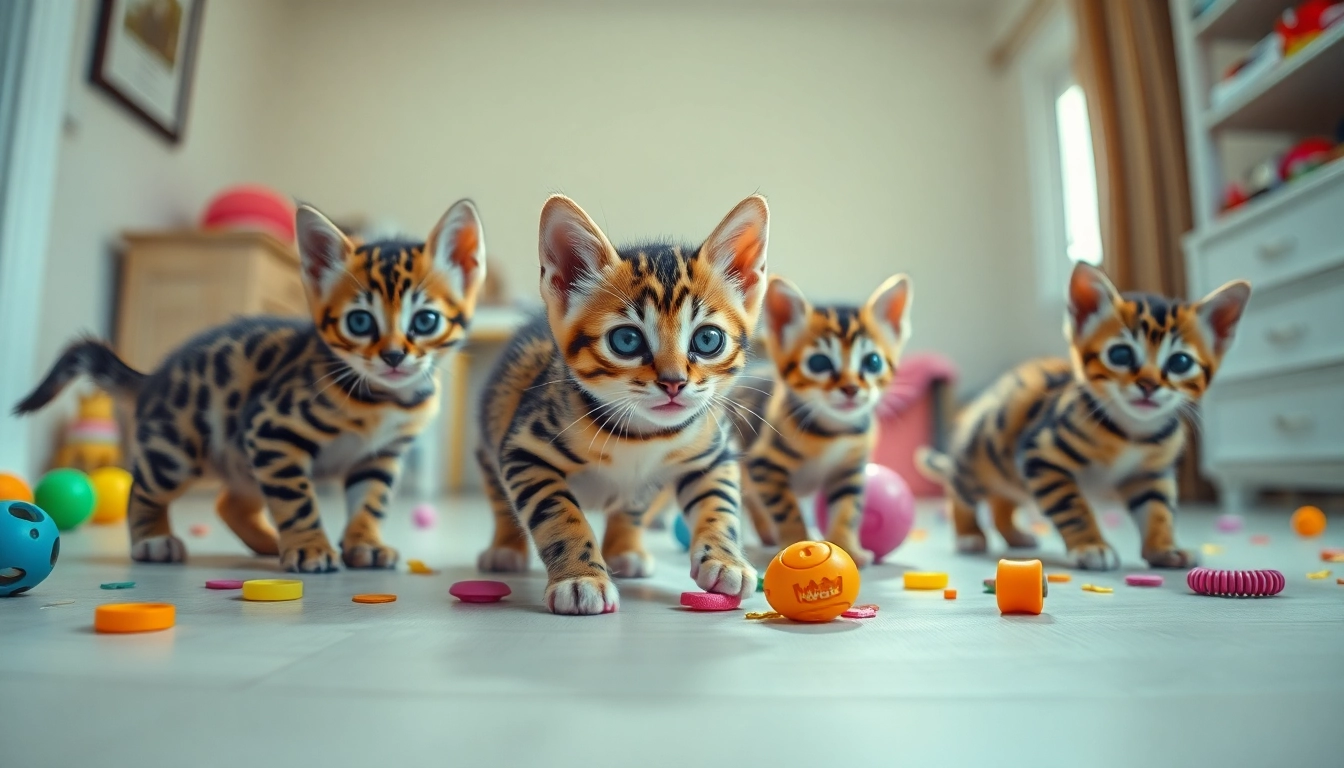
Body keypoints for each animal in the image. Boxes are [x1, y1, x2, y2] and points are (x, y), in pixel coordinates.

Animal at [15, 197, 489, 570]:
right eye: (359, 322)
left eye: (425, 321)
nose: (392, 356)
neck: (387, 401)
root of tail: (156, 376)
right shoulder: (272, 429)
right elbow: (296, 500)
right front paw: (310, 547)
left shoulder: (381, 454)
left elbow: (371, 501)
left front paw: (365, 543)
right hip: (180, 450)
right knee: (145, 488)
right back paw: (153, 539)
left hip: (242, 457)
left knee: (229, 503)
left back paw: (266, 542)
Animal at [475, 195, 768, 616]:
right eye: (627, 340)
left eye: (708, 339)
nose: (674, 382)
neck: (641, 435)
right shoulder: (524, 450)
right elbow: (558, 513)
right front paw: (580, 579)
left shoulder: (713, 452)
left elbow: (721, 504)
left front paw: (725, 559)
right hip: (494, 428)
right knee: (500, 496)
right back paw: (504, 549)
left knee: (632, 504)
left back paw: (626, 549)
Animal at [731, 274, 919, 564]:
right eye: (819, 363)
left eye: (873, 362)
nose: (851, 388)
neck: (833, 433)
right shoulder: (763, 464)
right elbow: (786, 508)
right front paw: (797, 541)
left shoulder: (849, 469)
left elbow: (847, 509)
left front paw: (847, 546)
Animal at [913, 264, 1247, 570]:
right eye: (1121, 355)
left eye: (1180, 362)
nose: (1149, 385)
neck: (1132, 433)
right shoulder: (1040, 456)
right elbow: (1071, 507)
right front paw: (1091, 546)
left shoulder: (1151, 475)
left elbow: (1159, 511)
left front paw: (1164, 548)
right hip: (980, 458)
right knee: (959, 493)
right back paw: (969, 534)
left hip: (1011, 474)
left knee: (1001, 502)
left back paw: (1015, 535)